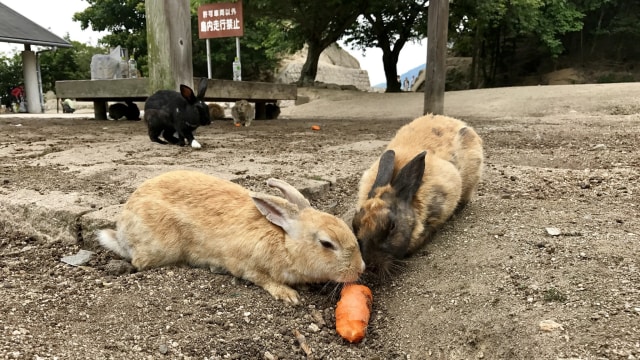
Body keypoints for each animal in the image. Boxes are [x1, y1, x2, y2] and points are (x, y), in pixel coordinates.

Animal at [95, 170, 364, 306]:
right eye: (327, 244)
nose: (360, 269)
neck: (285, 243)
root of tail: (122, 228)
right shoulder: (246, 265)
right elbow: (262, 279)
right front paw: (289, 295)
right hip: (161, 248)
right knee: (138, 261)